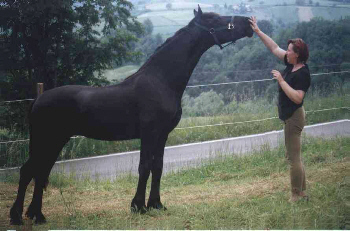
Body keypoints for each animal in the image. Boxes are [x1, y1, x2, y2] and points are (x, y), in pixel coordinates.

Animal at [9, 5, 253, 225]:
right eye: (215, 19)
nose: (248, 23)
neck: (161, 80)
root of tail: (37, 100)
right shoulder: (149, 133)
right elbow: (144, 167)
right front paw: (138, 206)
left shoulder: (162, 135)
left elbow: (158, 166)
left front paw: (156, 204)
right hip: (48, 140)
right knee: (29, 171)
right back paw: (18, 217)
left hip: (55, 141)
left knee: (40, 172)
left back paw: (37, 215)